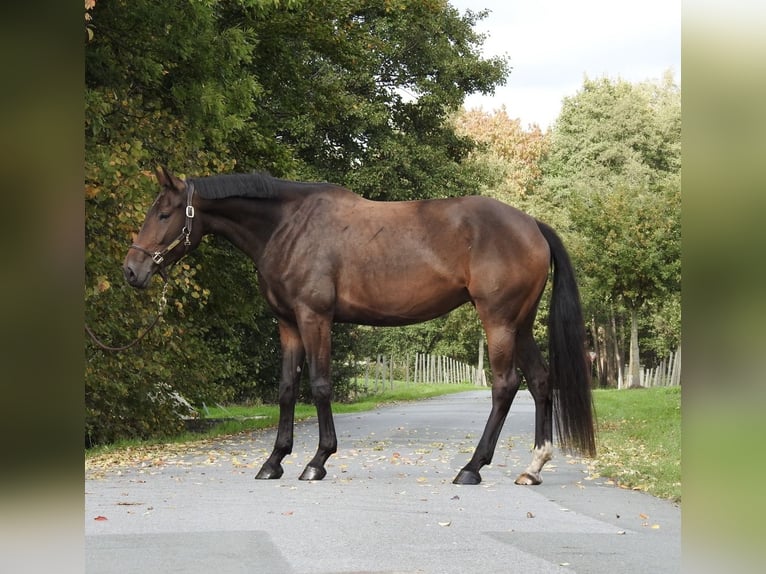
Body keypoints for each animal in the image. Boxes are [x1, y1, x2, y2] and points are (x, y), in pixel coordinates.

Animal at [124, 166, 596, 485]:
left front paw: (317, 461)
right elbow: (287, 389)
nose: (132, 270)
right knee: (540, 380)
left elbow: (319, 385)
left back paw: (471, 467)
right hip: (520, 324)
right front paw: (273, 462)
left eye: (164, 213)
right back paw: (532, 468)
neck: (287, 226)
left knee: (505, 385)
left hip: (497, 320)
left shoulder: (315, 318)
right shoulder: (288, 324)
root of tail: (531, 225)